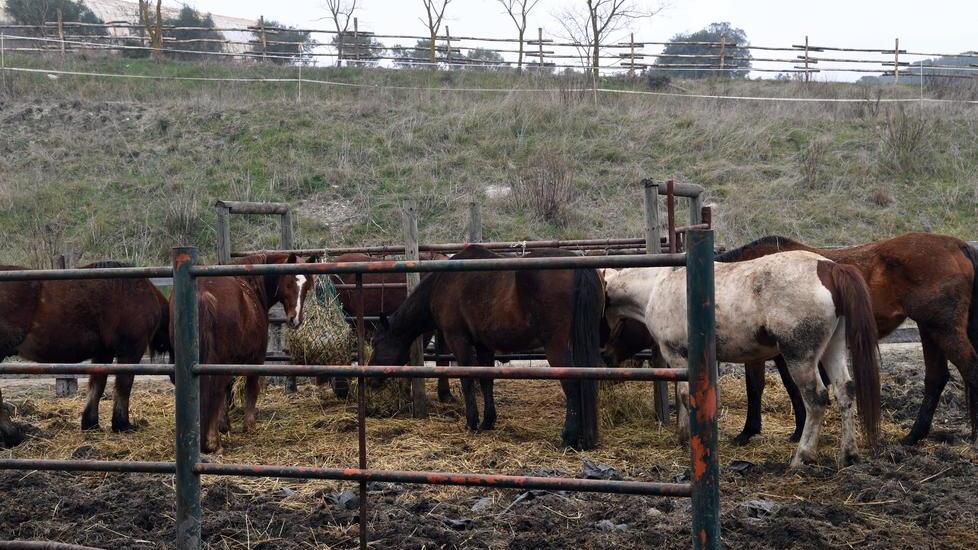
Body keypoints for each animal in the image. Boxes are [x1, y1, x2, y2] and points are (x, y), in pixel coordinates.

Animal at [0, 261, 169, 447]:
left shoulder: (103, 353)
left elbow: (97, 386)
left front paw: (91, 424)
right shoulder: (130, 352)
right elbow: (123, 387)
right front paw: (122, 425)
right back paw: (13, 435)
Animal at [173, 253, 315, 453]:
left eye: (307, 287)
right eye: (289, 283)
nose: (295, 319)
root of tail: (203, 293)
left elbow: (228, 392)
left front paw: (225, 425)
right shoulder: (256, 359)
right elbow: (251, 388)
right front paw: (249, 425)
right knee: (215, 390)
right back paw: (213, 442)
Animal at [370, 245, 605, 450]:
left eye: (377, 343)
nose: (372, 377)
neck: (443, 282)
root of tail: (578, 267)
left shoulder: (459, 341)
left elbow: (467, 381)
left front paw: (471, 422)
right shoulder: (484, 346)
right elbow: (486, 380)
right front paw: (487, 422)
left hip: (556, 347)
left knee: (572, 384)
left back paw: (569, 437)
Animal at [603, 250, 881, 467]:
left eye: (617, 323)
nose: (605, 355)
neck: (657, 286)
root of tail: (829, 268)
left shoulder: (678, 356)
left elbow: (684, 395)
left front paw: (686, 436)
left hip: (800, 358)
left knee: (817, 400)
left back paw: (801, 456)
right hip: (833, 348)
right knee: (845, 393)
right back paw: (849, 454)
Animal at [716, 233, 978, 446]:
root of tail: (957, 245)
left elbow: (758, 387)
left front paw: (749, 432)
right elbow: (790, 387)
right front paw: (798, 429)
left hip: (942, 330)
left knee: (968, 369)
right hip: (929, 329)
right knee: (935, 378)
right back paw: (914, 436)